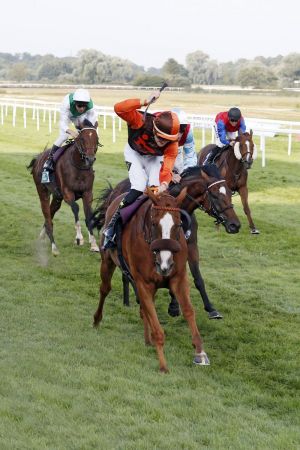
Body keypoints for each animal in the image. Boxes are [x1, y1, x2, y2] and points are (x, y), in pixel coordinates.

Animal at [27, 121, 99, 255]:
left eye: (96, 139)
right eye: (82, 139)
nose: (90, 159)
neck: (79, 167)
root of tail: (38, 158)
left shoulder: (87, 193)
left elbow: (89, 216)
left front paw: (93, 244)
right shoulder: (67, 193)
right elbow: (75, 208)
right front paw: (79, 238)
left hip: (57, 197)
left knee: (51, 213)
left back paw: (43, 236)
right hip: (43, 191)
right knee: (47, 216)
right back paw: (54, 247)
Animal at [91, 165, 241, 320]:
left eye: (230, 193)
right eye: (215, 195)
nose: (235, 225)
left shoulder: (191, 246)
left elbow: (197, 277)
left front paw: (211, 309)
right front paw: (174, 306)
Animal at [94, 187, 211, 372]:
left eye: (178, 225)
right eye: (155, 224)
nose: (165, 263)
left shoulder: (178, 278)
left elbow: (188, 310)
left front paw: (200, 353)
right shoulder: (144, 283)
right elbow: (155, 323)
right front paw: (163, 364)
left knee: (144, 307)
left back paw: (147, 339)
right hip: (107, 261)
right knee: (105, 289)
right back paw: (97, 320)